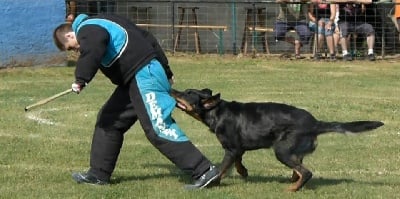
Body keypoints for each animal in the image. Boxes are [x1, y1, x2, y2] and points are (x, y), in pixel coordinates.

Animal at [170, 88, 384, 191]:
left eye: (188, 93)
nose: (171, 90)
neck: (217, 112)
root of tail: (315, 123)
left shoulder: (231, 149)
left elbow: (222, 168)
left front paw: (213, 182)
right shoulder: (237, 148)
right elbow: (238, 162)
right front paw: (243, 172)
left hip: (281, 151)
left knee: (306, 172)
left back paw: (292, 189)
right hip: (291, 151)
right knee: (299, 169)